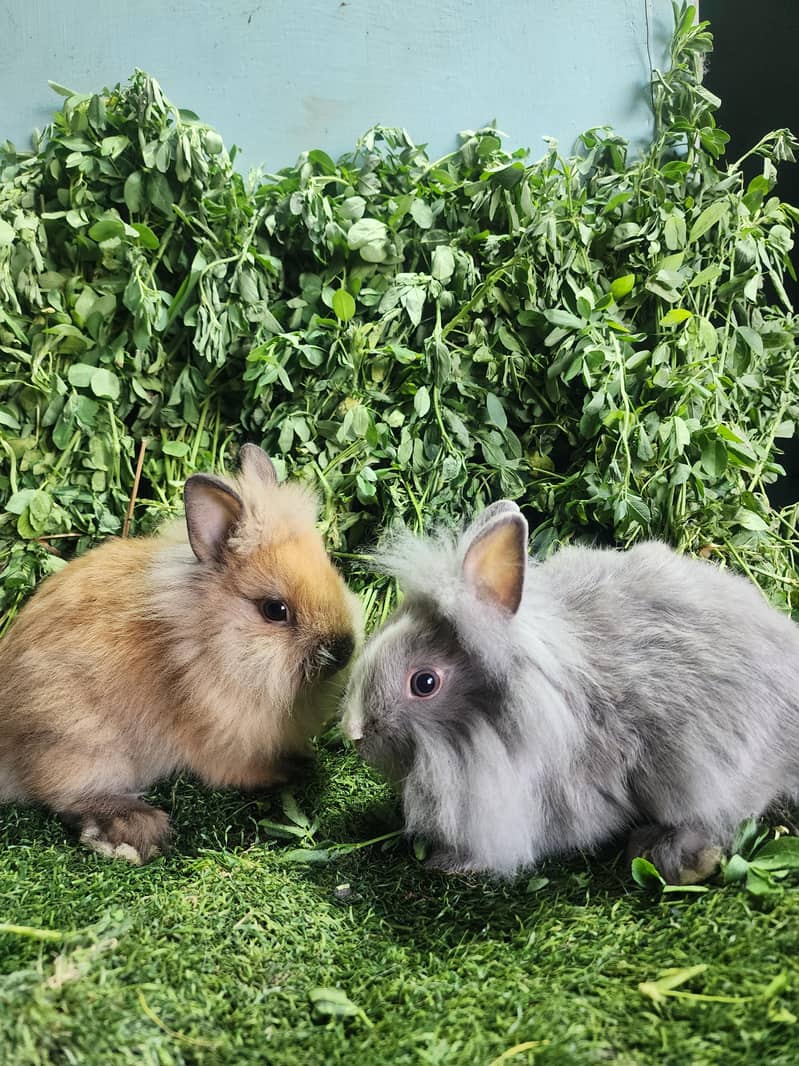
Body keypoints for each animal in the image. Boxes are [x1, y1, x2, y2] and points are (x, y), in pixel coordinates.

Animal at [0, 444, 362, 863]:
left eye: (331, 569)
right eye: (275, 610)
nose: (344, 648)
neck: (206, 643)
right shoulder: (227, 746)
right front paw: (297, 769)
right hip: (84, 744)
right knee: (65, 796)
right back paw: (137, 832)